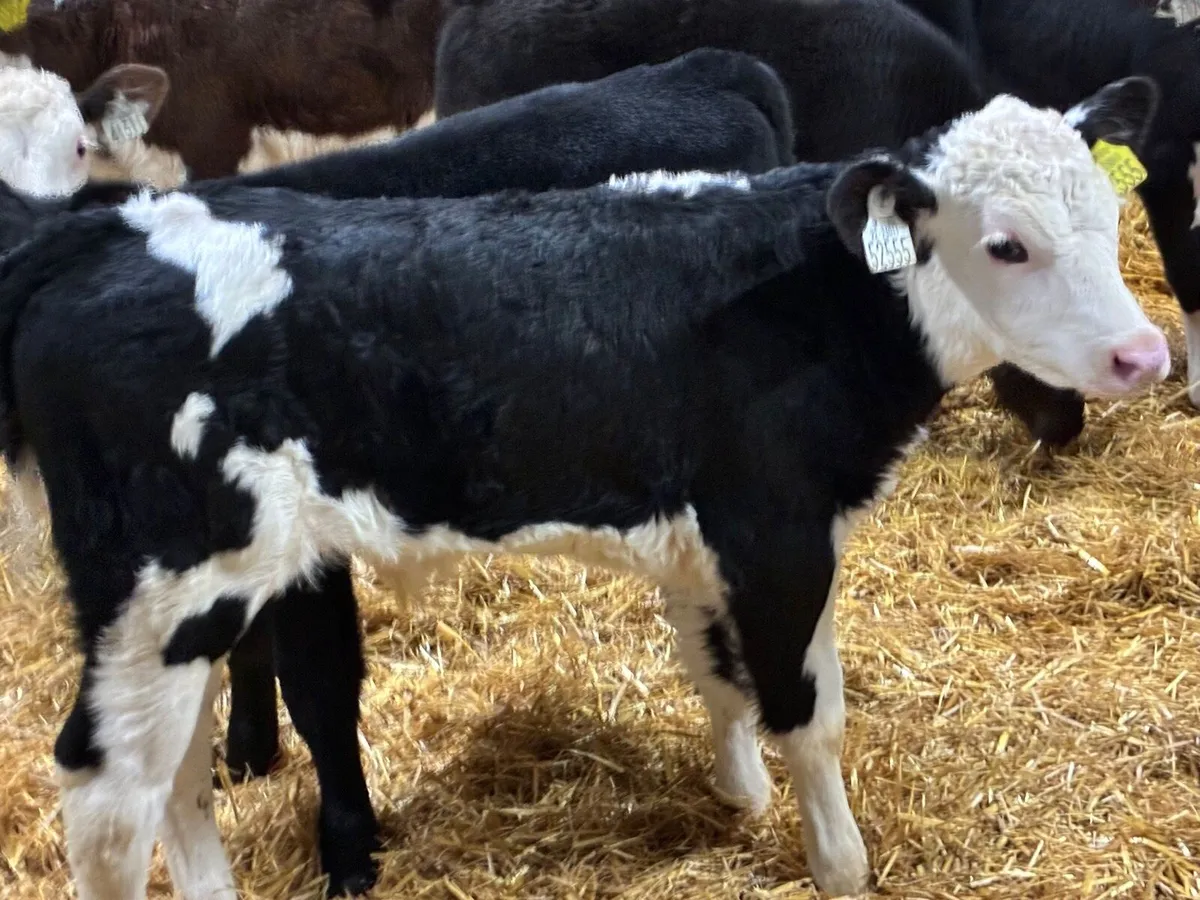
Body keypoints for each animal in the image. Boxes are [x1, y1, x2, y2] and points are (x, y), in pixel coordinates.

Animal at [0, 78, 1165, 898]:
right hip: (173, 584)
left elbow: (715, 673)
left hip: (174, 609)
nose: (1144, 355)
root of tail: (103, 232)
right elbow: (807, 710)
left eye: (1111, 215)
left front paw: (738, 798)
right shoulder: (777, 531)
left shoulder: (704, 539)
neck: (810, 293)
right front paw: (839, 863)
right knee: (107, 799)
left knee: (175, 775)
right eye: (1005, 244)